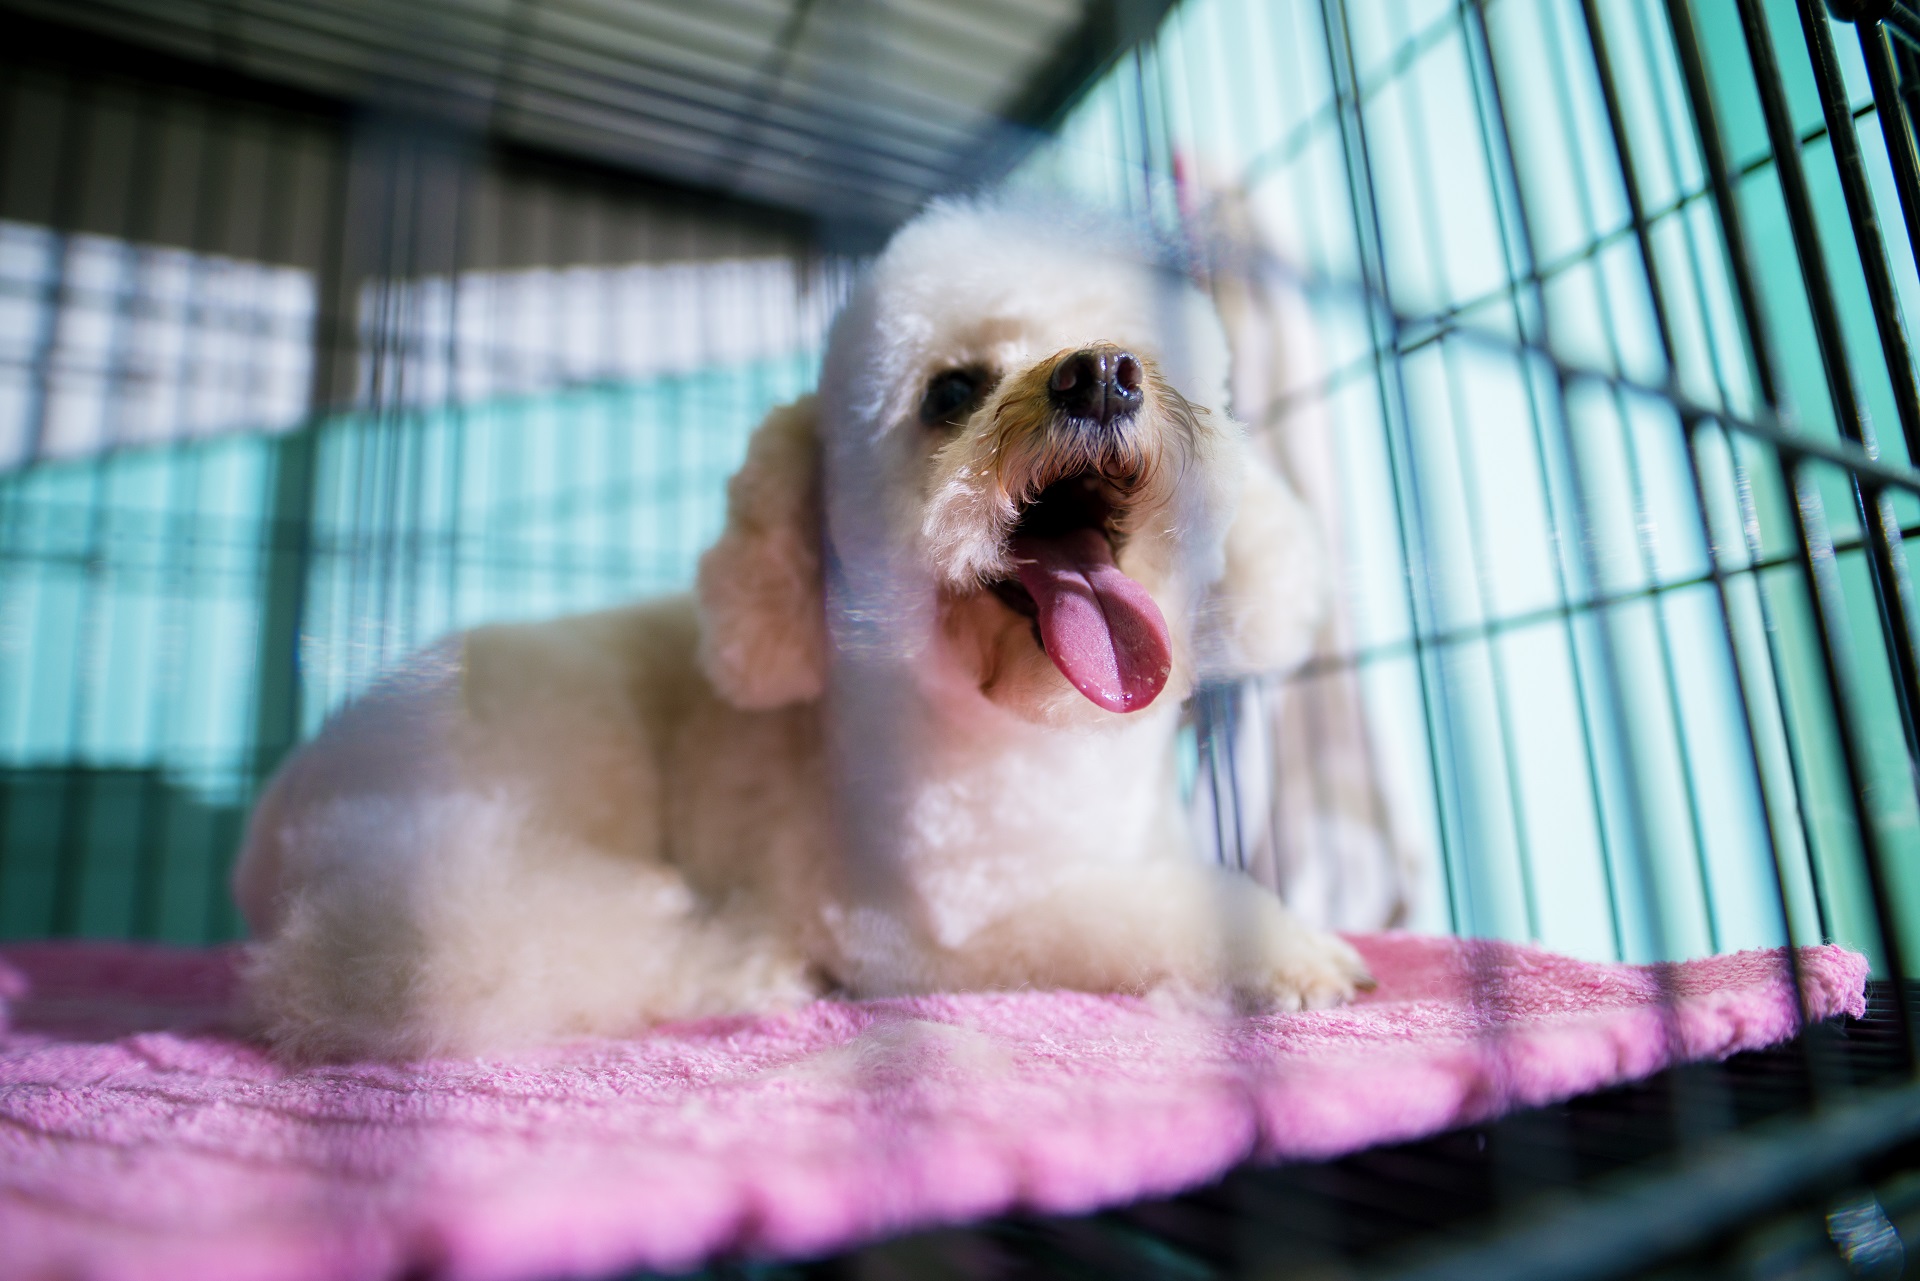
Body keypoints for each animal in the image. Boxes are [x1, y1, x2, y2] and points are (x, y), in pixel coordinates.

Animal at [232, 200, 1374, 1060]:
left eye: (1142, 355)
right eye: (951, 391)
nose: (1098, 373)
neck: (1038, 744)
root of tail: (271, 814)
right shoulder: (920, 933)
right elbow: (1119, 914)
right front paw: (1287, 953)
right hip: (531, 762)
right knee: (436, 960)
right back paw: (735, 964)